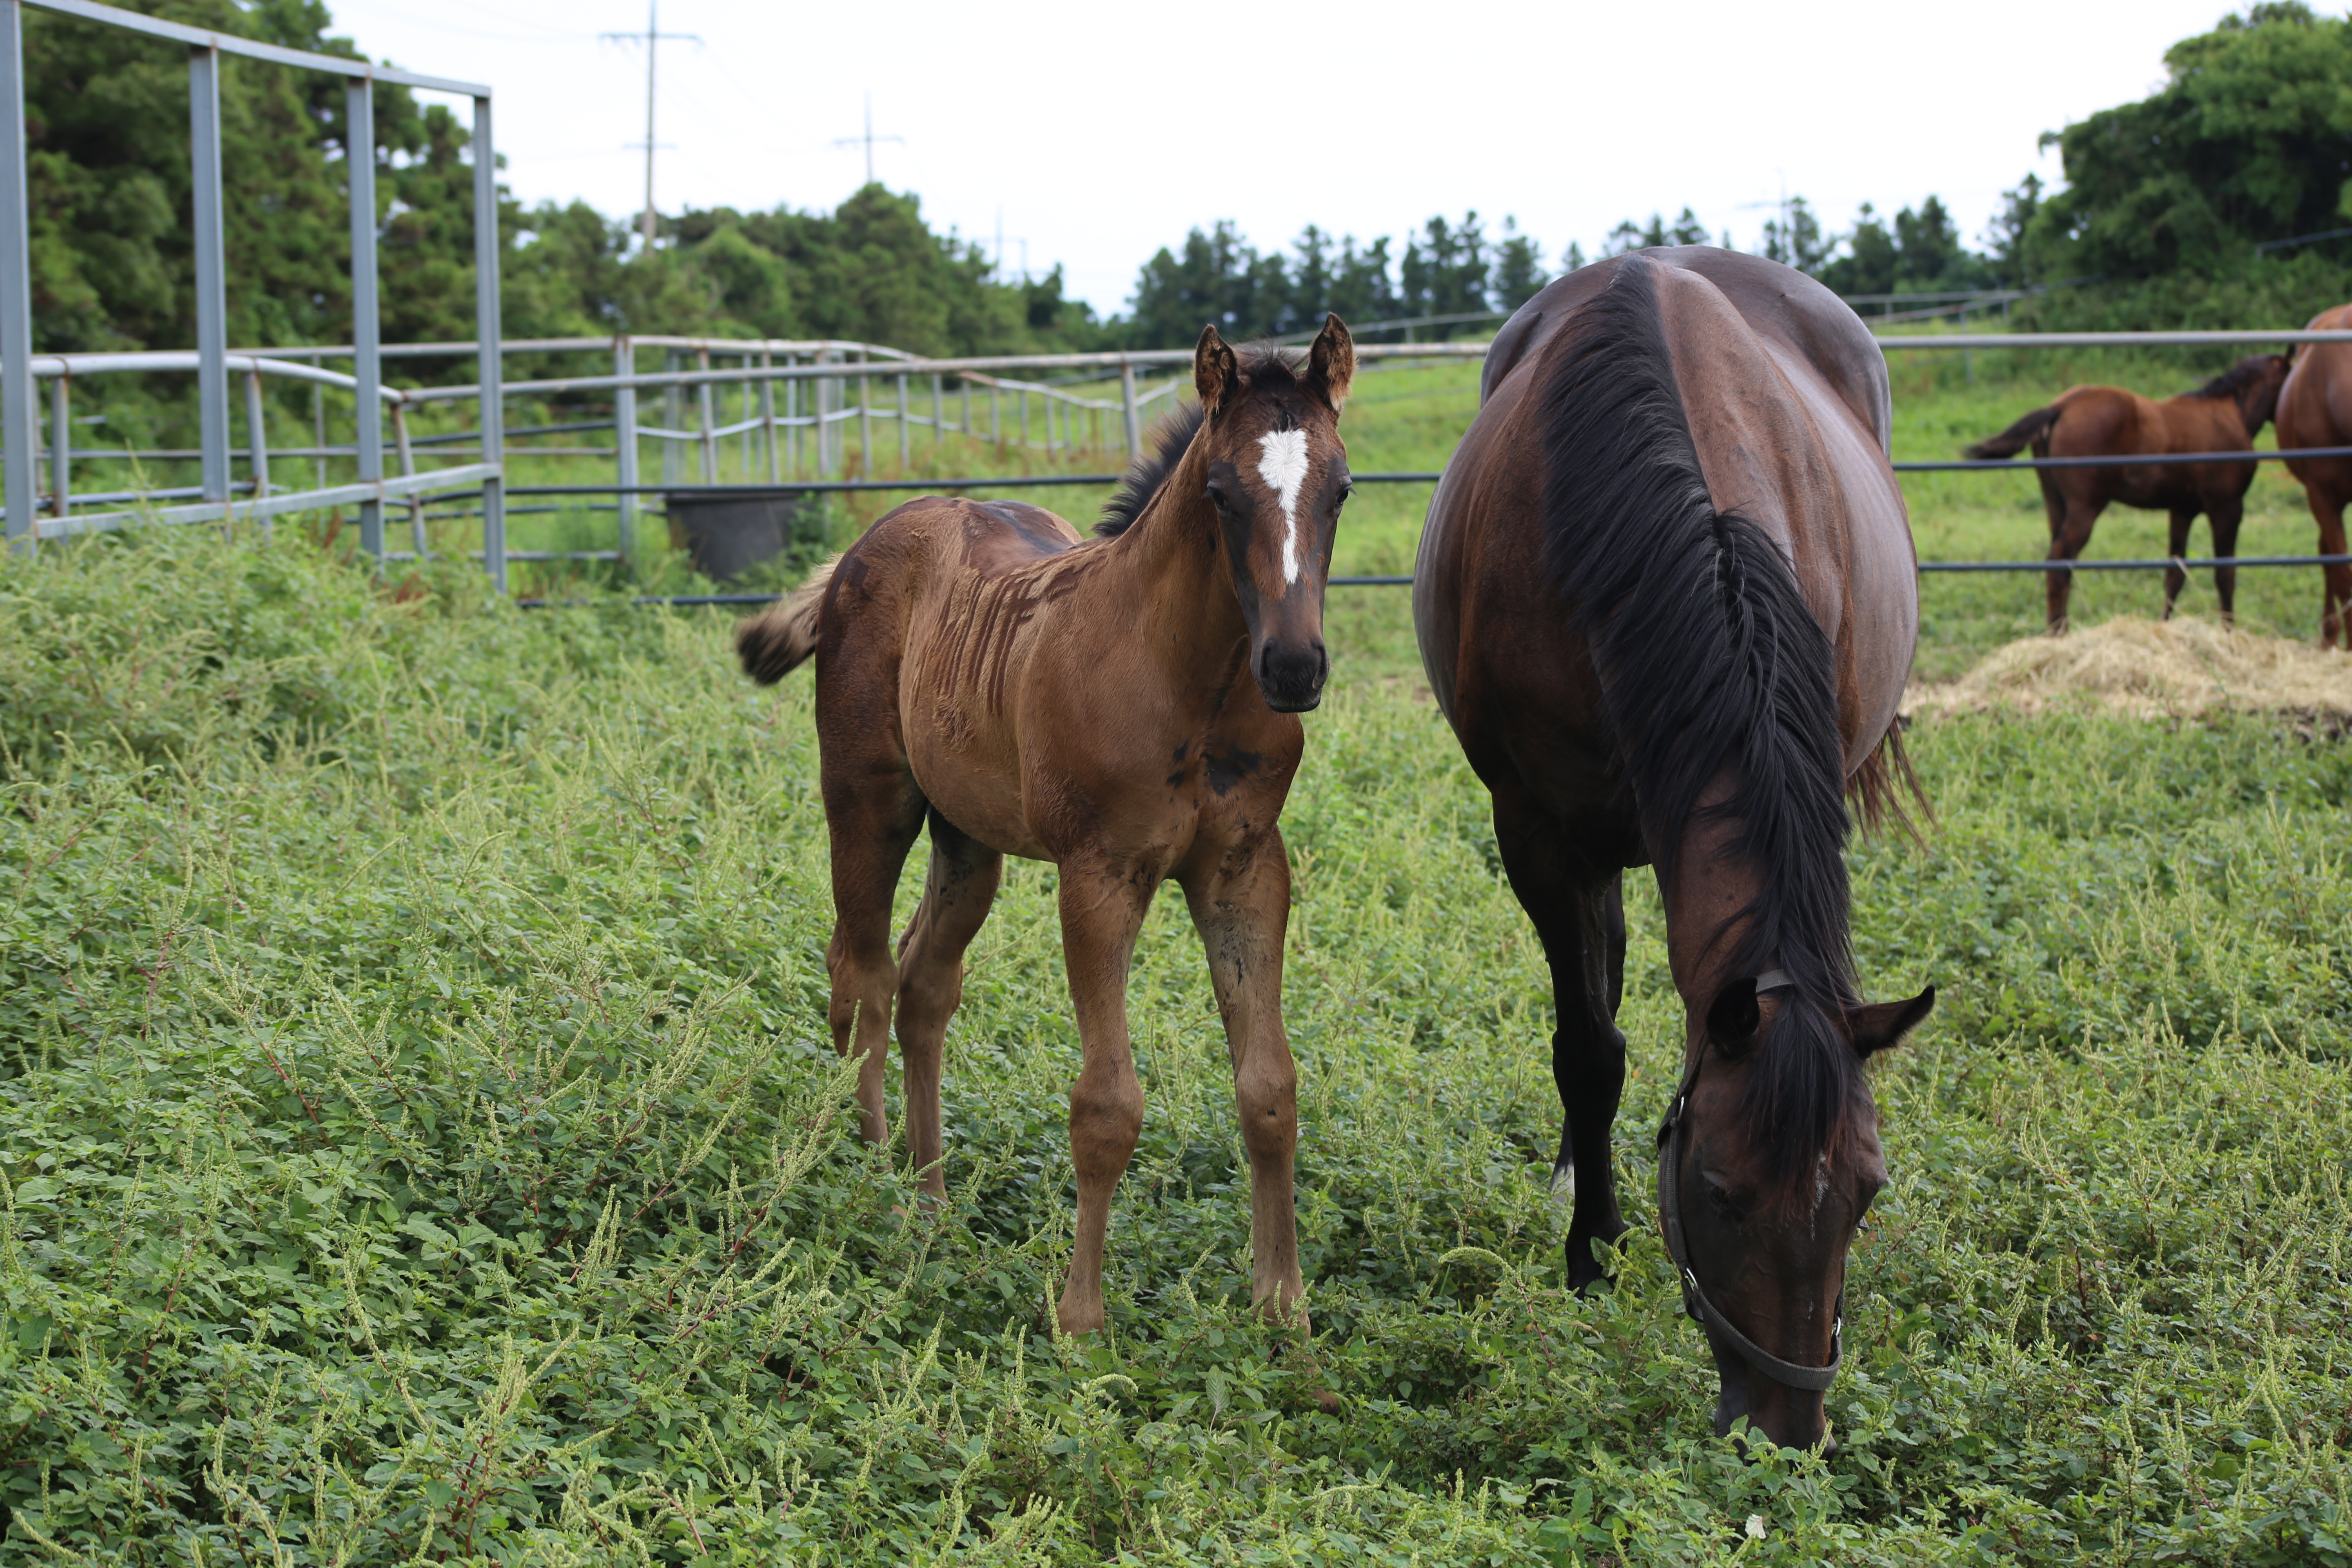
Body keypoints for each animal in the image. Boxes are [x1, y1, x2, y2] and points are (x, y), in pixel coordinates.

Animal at [734, 315, 1364, 1335]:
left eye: (1341, 487)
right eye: (1221, 494)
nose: (1295, 667)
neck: (1193, 676)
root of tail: (871, 540)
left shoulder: (1244, 870)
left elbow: (1271, 1088)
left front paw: (1285, 1313)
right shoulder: (1100, 874)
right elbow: (1107, 1105)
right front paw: (1081, 1322)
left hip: (967, 837)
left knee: (924, 984)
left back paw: (931, 1199)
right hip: (869, 799)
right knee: (860, 975)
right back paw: (871, 1180)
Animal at [1411, 252, 1929, 1457]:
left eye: (1868, 1191)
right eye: (1722, 1192)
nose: (1788, 1431)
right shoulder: (1537, 831)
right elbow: (1588, 1048)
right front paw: (1592, 1253)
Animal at [1957, 352, 2286, 630]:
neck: (2230, 412)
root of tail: (2061, 407)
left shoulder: (2182, 510)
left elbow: (2175, 573)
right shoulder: (2227, 507)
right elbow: (2225, 574)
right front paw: (2229, 630)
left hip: (2056, 507)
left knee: (2061, 563)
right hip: (2086, 509)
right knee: (2060, 562)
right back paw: (2058, 633)